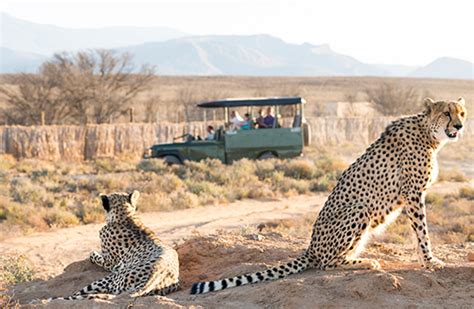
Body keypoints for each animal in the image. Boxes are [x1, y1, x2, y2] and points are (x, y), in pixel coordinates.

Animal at [191, 97, 468, 294]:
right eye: (446, 113)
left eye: (462, 113)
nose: (459, 126)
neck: (429, 134)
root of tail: (311, 247)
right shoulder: (413, 194)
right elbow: (422, 232)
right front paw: (430, 261)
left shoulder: (413, 194)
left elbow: (419, 233)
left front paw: (427, 260)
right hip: (359, 209)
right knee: (326, 263)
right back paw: (366, 262)